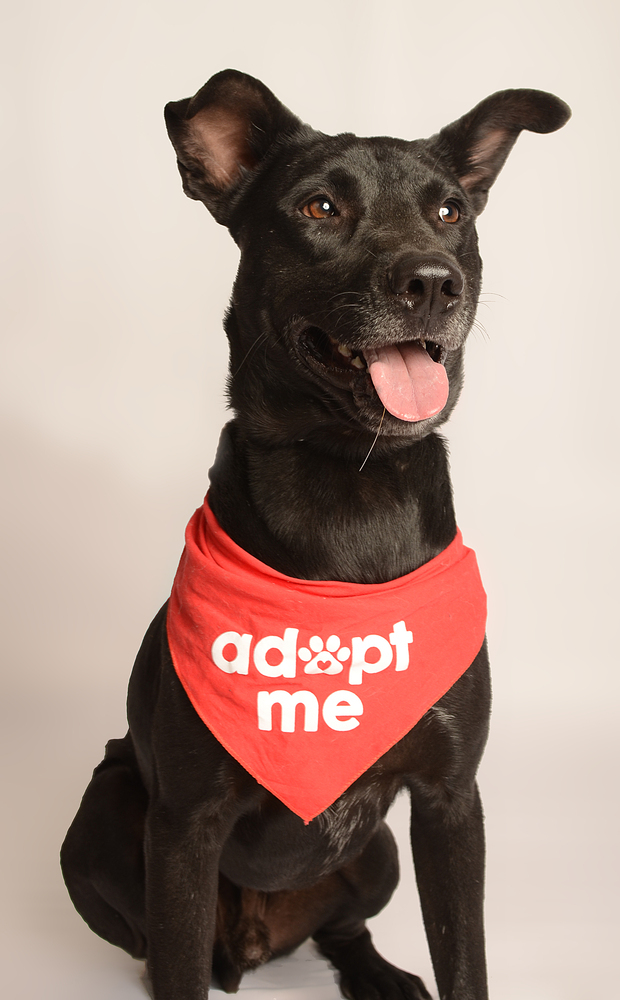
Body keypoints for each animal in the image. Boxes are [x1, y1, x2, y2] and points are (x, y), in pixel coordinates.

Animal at [60, 72, 568, 1000]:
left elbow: (465, 958)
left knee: (342, 926)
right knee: (162, 946)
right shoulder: (183, 824)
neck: (352, 484)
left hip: (379, 854)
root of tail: (258, 939)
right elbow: (175, 961)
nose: (433, 283)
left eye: (450, 211)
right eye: (320, 206)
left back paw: (376, 973)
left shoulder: (451, 802)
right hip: (103, 822)